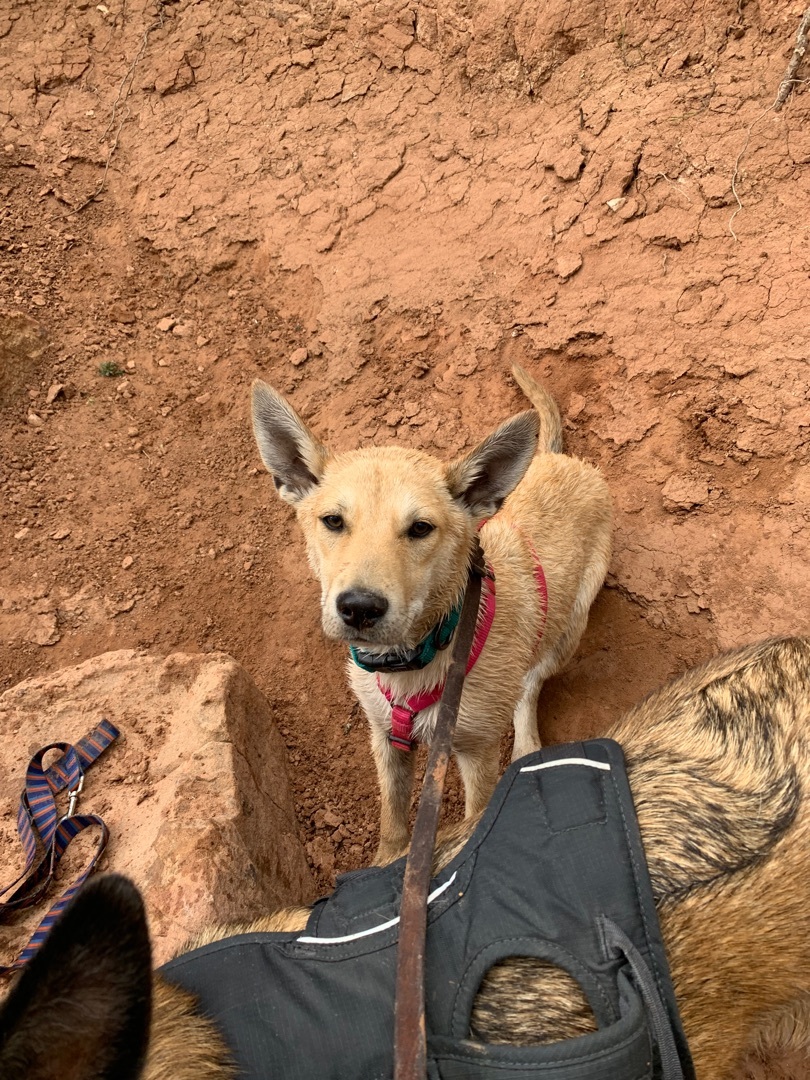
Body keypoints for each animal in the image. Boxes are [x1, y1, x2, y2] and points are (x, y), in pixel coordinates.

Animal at [250, 367, 613, 864]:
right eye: (333, 521)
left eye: (420, 528)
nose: (359, 607)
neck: (419, 654)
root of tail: (560, 458)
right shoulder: (386, 738)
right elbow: (392, 820)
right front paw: (386, 862)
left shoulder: (476, 754)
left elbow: (471, 824)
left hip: (570, 628)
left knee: (531, 680)